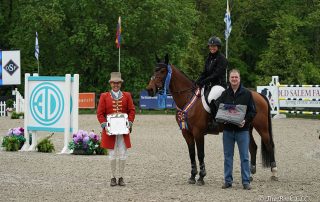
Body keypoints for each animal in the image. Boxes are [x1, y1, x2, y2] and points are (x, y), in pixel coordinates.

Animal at [146, 54, 278, 185]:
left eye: (162, 71)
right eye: (154, 70)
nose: (149, 89)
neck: (187, 98)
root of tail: (258, 94)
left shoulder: (198, 132)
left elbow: (200, 154)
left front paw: (201, 177)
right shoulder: (186, 132)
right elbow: (191, 153)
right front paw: (192, 176)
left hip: (262, 127)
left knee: (269, 145)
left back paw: (274, 173)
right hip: (246, 127)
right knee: (253, 147)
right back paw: (250, 174)